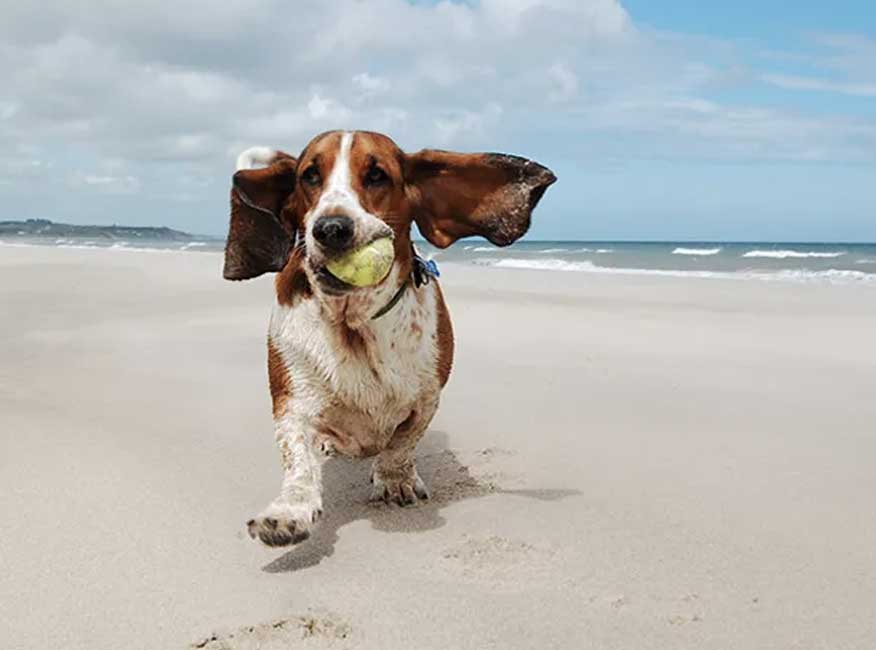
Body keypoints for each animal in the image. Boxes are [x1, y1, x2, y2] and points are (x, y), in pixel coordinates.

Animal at [224, 129, 556, 544]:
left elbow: (402, 441)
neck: (354, 322)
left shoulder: (427, 398)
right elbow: (298, 457)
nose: (331, 229)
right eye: (309, 176)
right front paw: (289, 512)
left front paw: (396, 480)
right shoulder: (291, 402)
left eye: (377, 175)